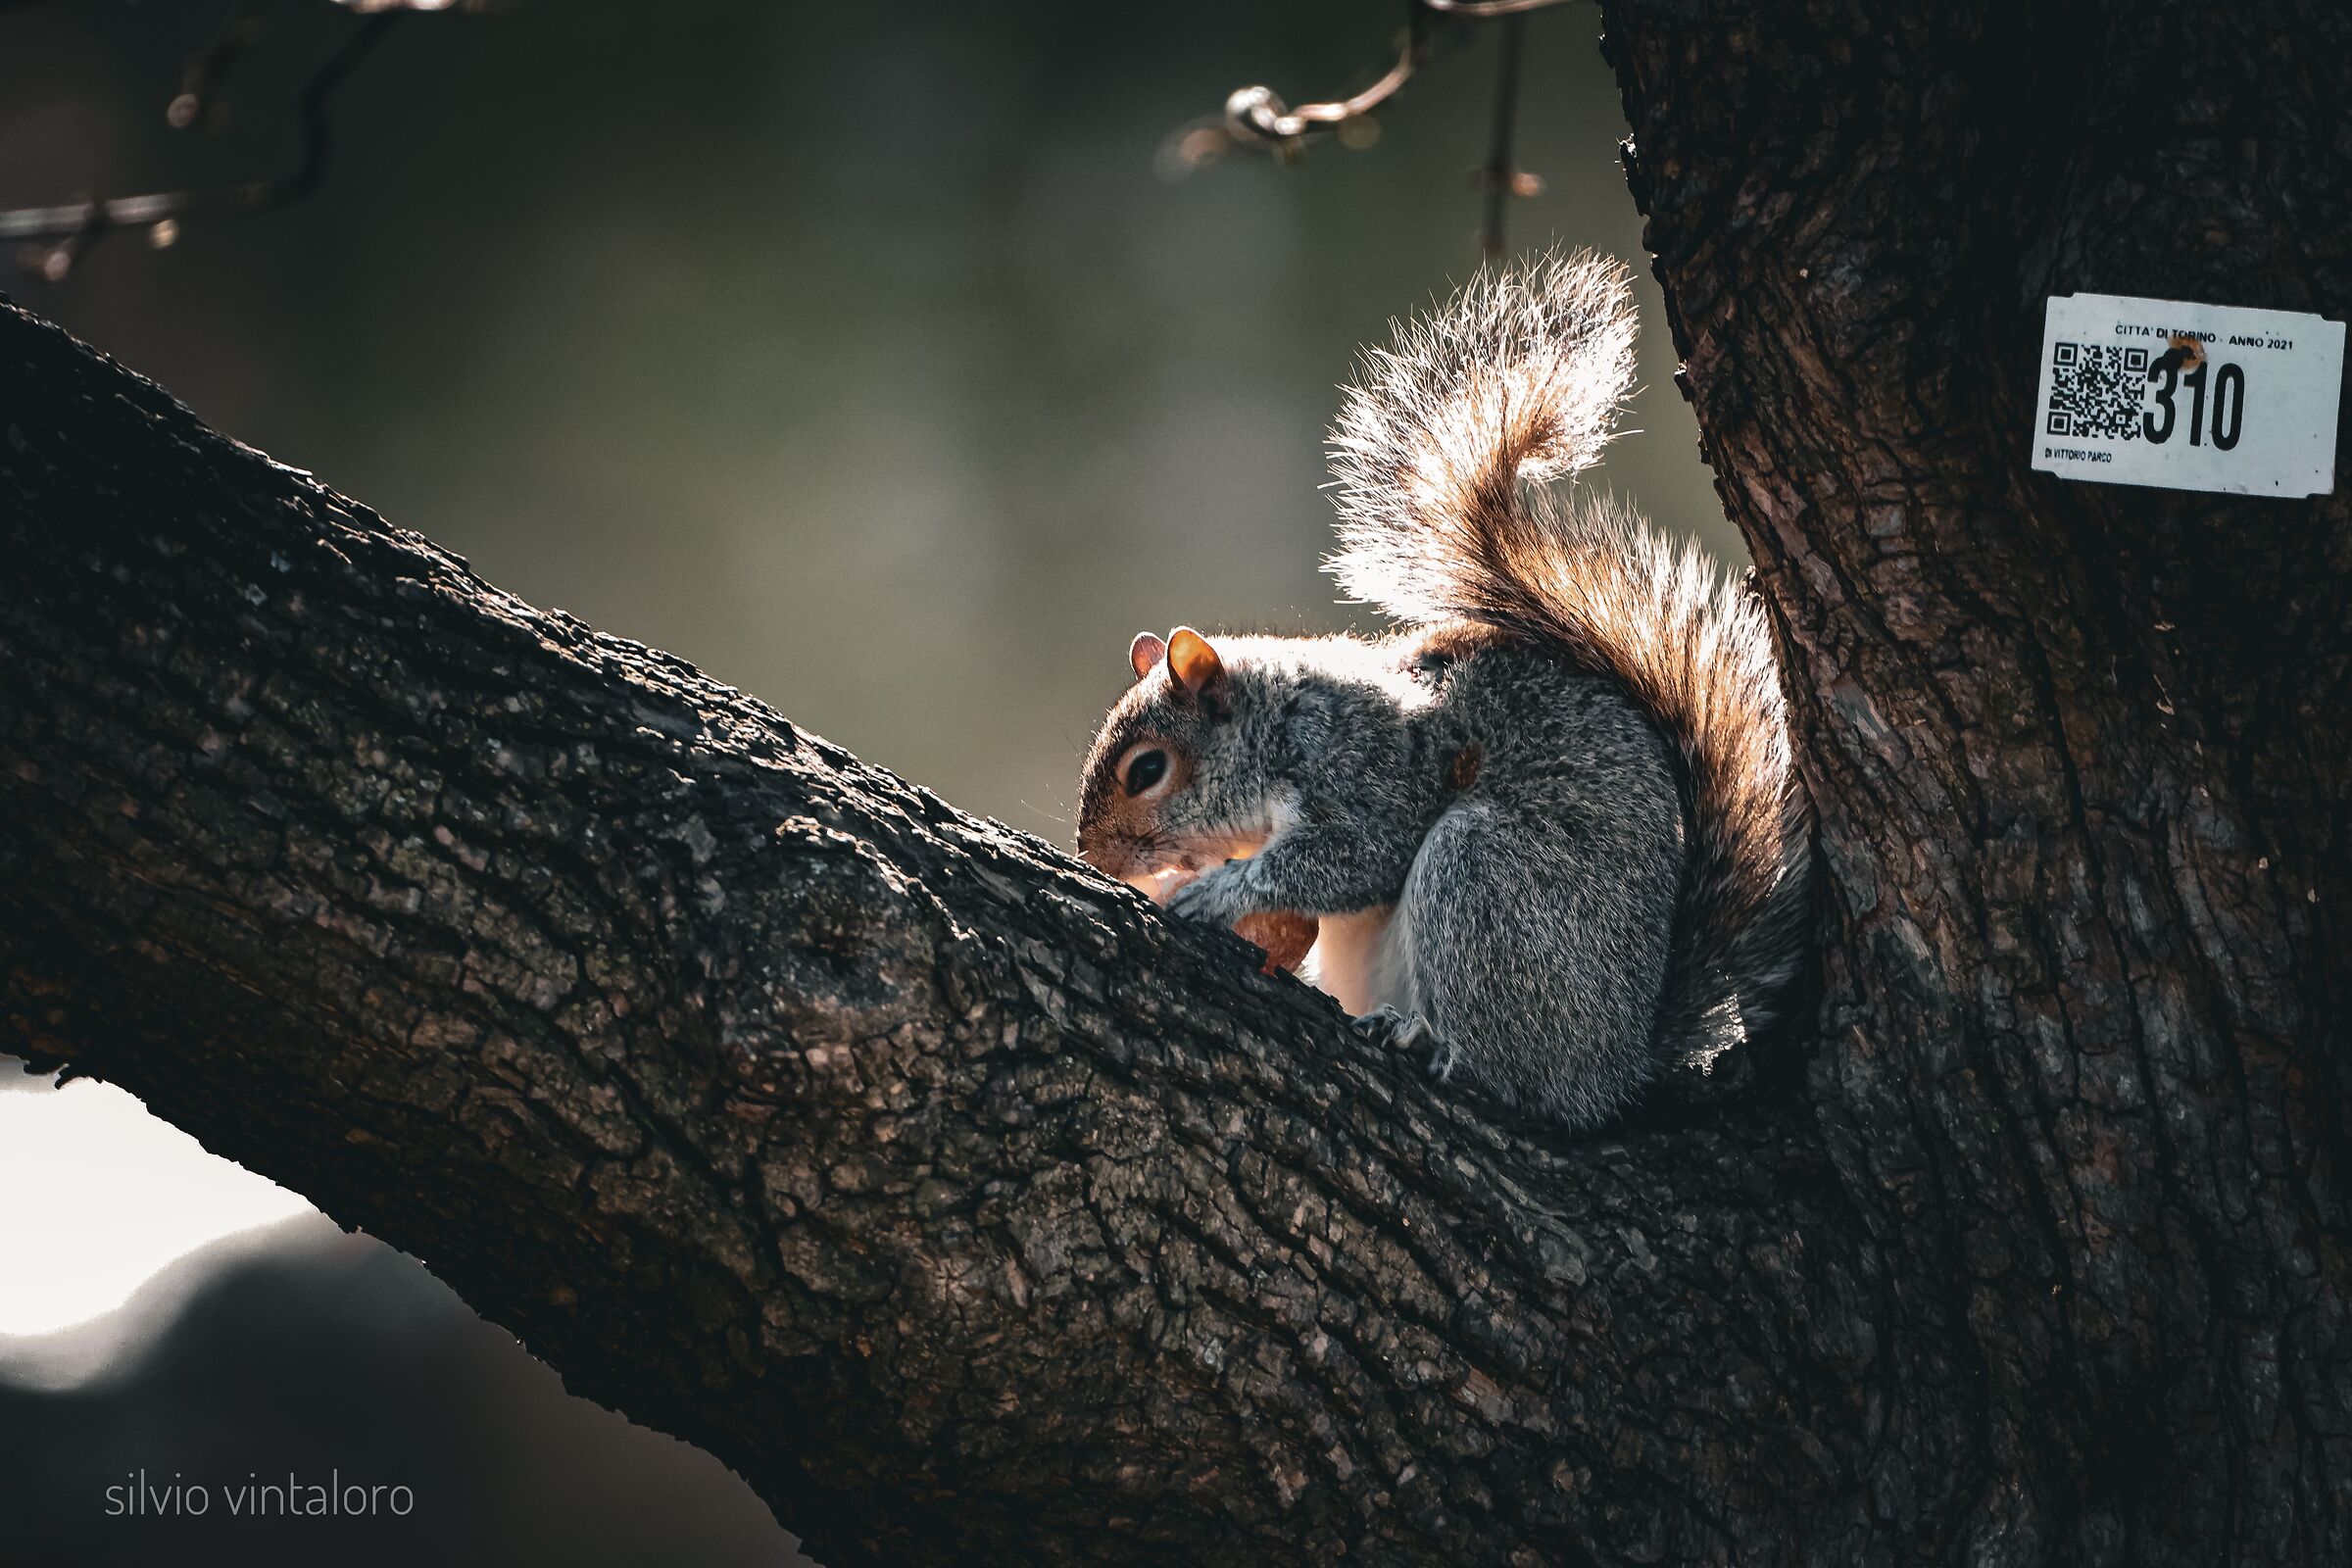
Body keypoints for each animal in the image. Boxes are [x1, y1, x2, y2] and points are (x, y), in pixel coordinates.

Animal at [1074, 250, 1810, 1129]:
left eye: (1147, 770)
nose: (1092, 854)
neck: (1281, 722)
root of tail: (1616, 1068)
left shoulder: (1370, 765)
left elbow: (1354, 855)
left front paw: (1217, 891)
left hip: (1487, 886)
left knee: (1513, 1074)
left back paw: (1435, 1041)